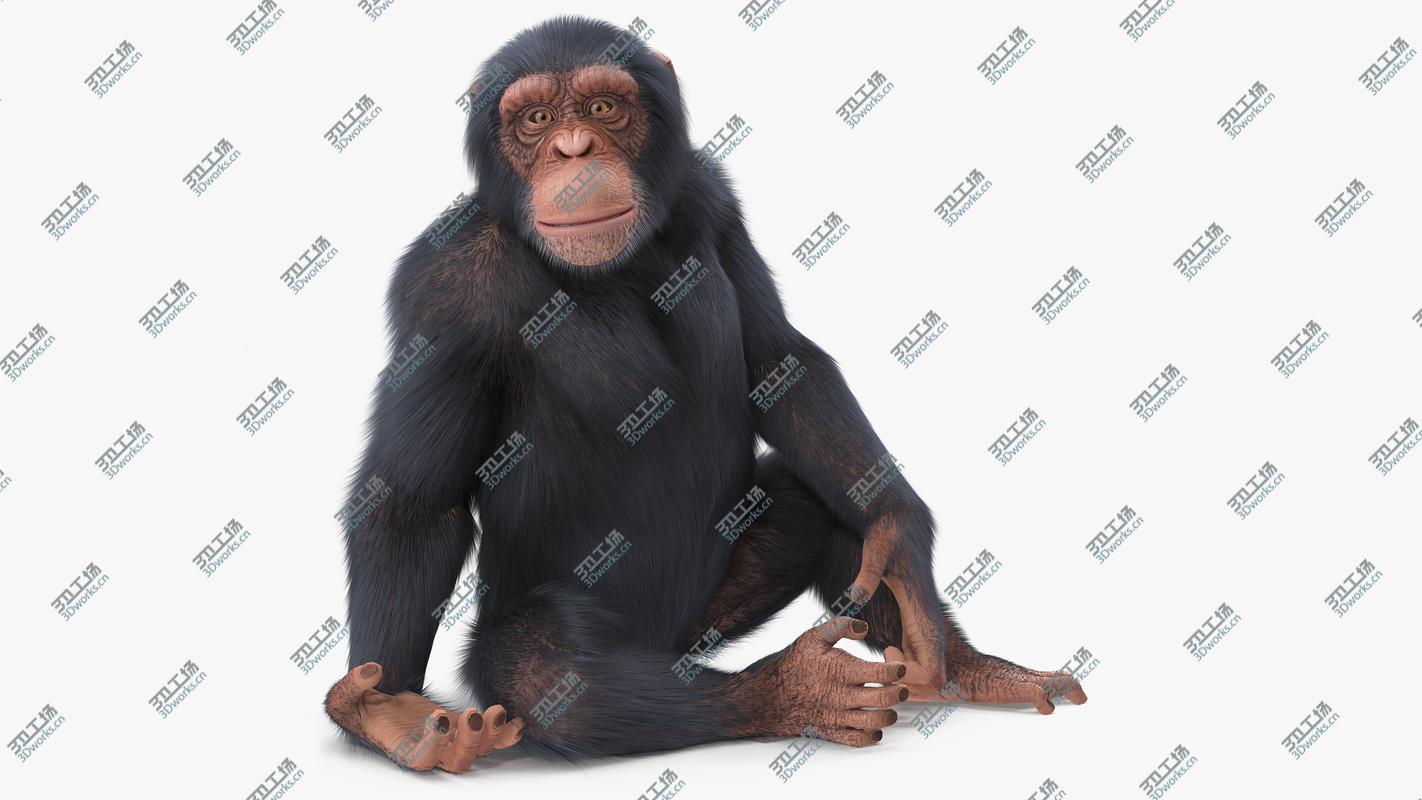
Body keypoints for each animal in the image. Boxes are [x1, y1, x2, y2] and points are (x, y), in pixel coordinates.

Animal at [324, 15, 1085, 774]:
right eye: (535, 120)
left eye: (603, 107)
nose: (574, 149)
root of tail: (663, 649)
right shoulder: (443, 289)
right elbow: (416, 502)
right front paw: (389, 713)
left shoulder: (712, 199)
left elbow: (778, 358)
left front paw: (900, 538)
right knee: (547, 673)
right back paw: (796, 689)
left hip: (708, 616)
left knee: (814, 501)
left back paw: (970, 669)